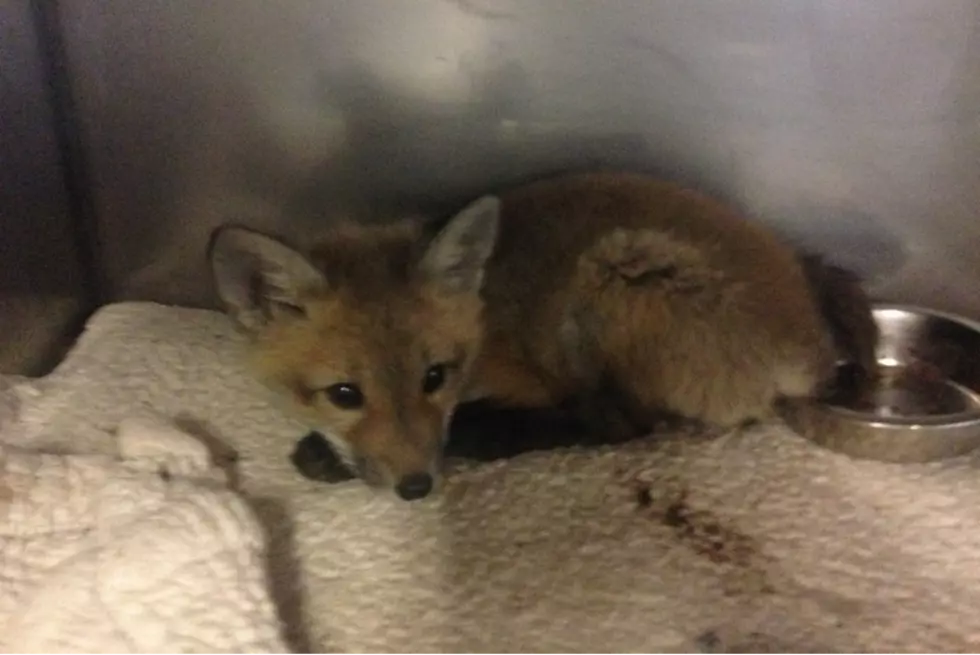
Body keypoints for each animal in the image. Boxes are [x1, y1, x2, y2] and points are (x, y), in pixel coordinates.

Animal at [207, 172, 878, 501]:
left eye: (435, 377)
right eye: (345, 394)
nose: (417, 489)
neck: (485, 320)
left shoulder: (524, 381)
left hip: (612, 278)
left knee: (620, 425)